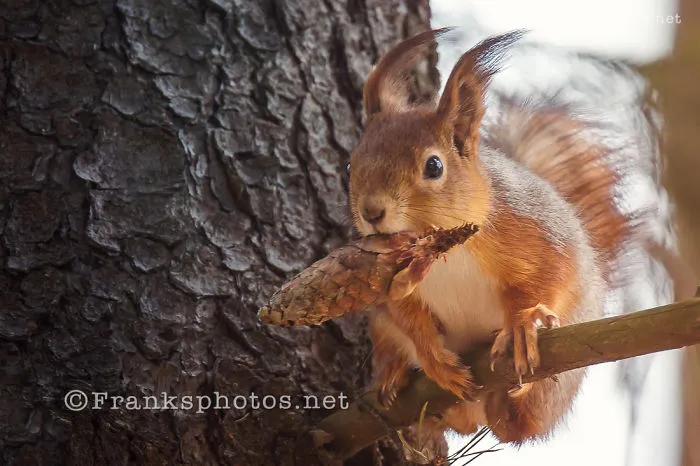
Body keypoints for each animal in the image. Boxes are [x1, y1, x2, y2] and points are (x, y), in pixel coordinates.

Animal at [347, 28, 638, 444]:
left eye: (433, 166)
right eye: (350, 163)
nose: (371, 213)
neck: (440, 252)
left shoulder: (537, 229)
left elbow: (552, 275)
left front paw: (521, 325)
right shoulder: (392, 285)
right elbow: (409, 317)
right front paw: (434, 359)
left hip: (558, 380)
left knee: (516, 425)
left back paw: (517, 394)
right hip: (382, 329)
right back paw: (394, 374)